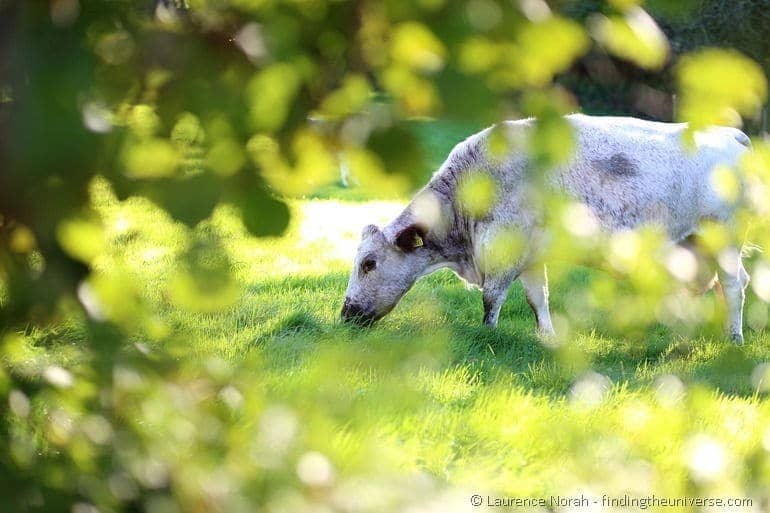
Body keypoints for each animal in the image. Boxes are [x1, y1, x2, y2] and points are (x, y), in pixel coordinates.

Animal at [340, 114, 752, 342]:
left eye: (369, 264)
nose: (346, 315)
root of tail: (731, 134)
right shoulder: (530, 256)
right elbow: (538, 298)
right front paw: (547, 336)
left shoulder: (503, 252)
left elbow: (492, 299)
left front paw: (487, 335)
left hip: (725, 240)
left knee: (734, 285)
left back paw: (735, 337)